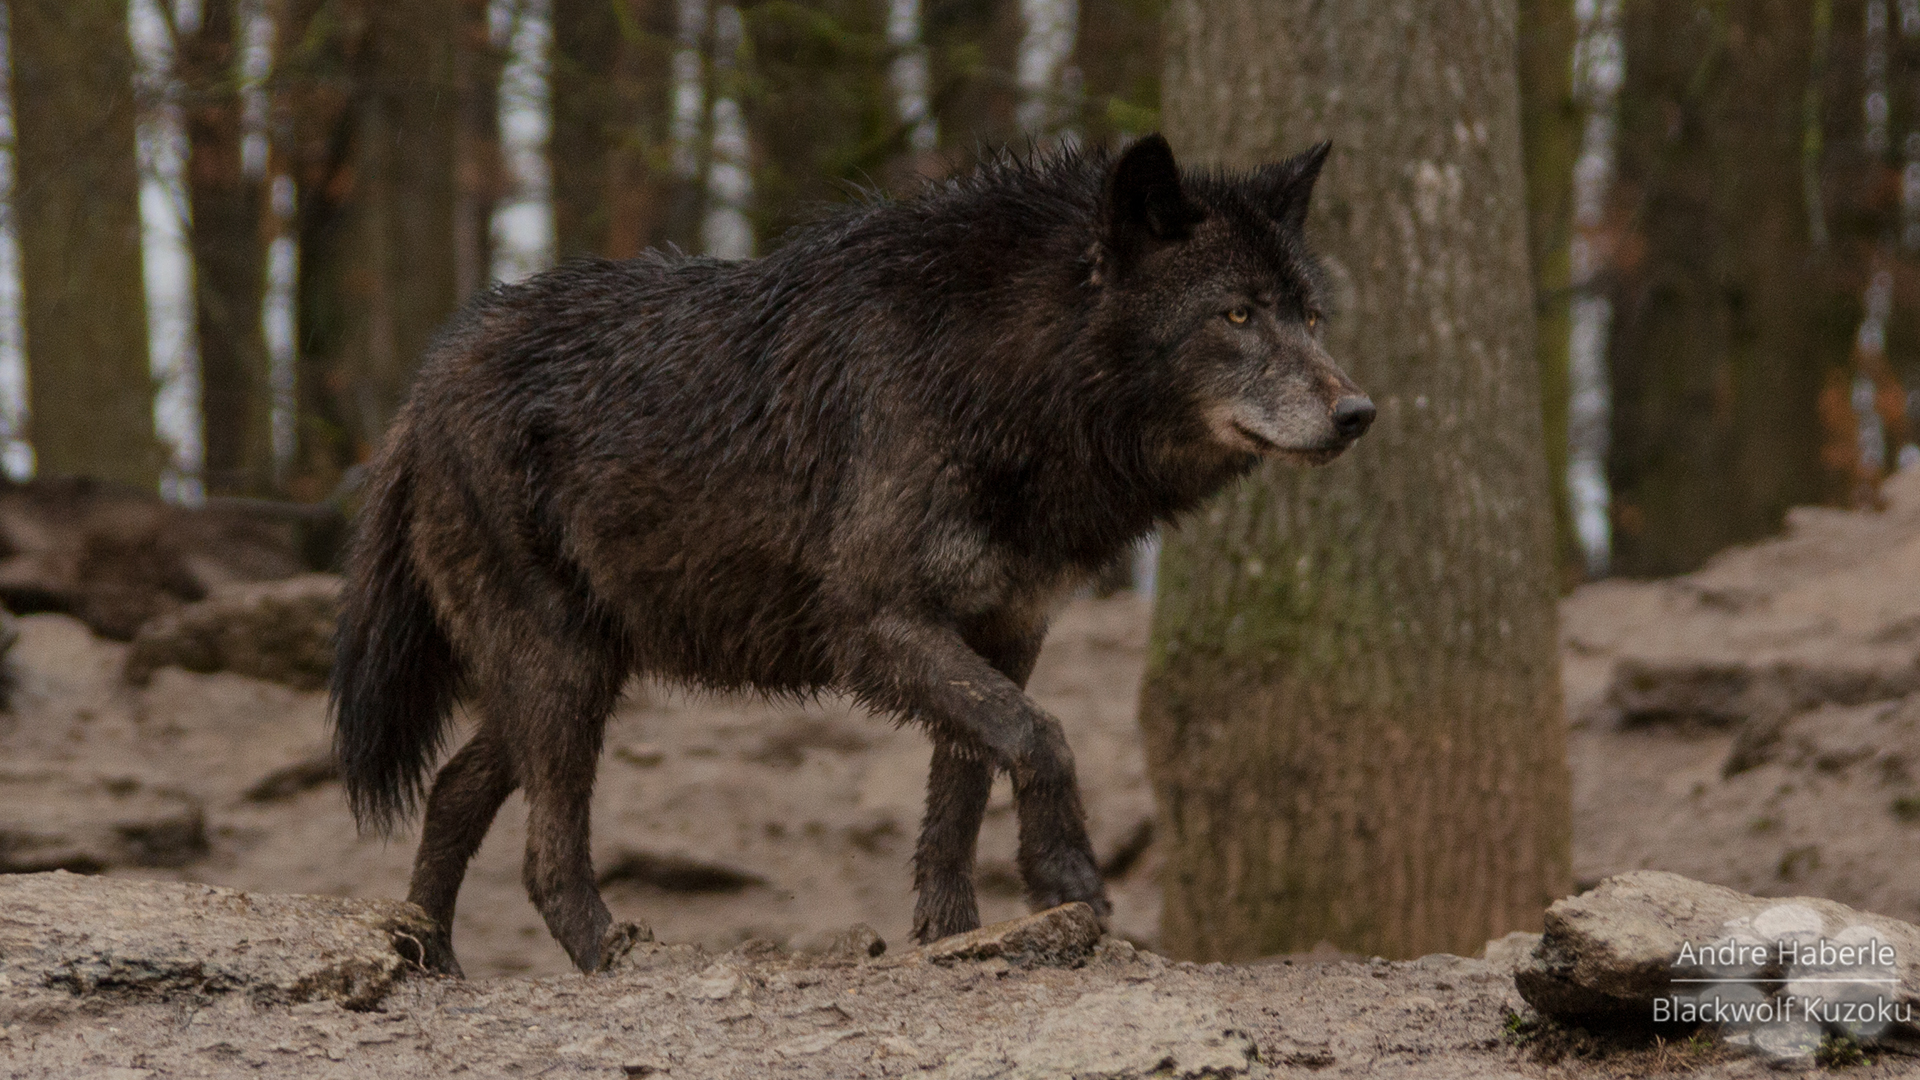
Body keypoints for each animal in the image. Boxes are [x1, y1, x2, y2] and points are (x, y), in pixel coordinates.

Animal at [337, 132, 1374, 968]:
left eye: (1312, 317)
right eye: (1236, 315)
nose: (1359, 413)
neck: (998, 378)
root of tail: (423, 384)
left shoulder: (1004, 633)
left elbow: (962, 795)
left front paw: (955, 937)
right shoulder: (874, 622)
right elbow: (1042, 737)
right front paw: (1064, 877)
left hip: (572, 671)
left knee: (453, 790)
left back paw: (432, 962)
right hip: (562, 671)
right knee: (545, 855)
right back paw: (616, 960)